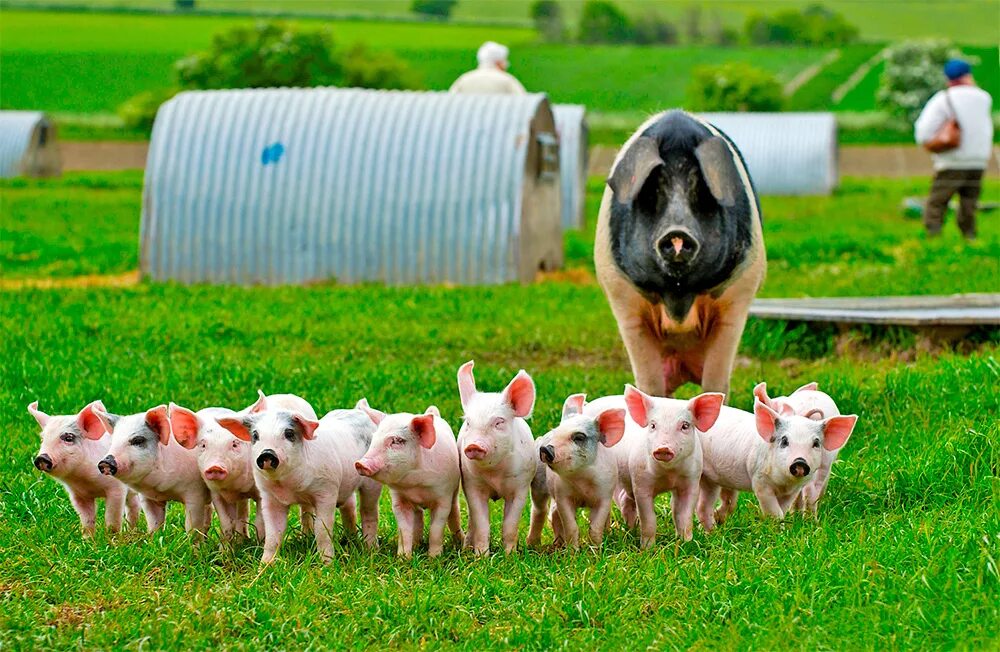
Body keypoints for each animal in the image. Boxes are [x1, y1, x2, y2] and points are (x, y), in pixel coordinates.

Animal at [592, 111, 764, 398]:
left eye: (701, 189)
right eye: (653, 189)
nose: (677, 232)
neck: (679, 295)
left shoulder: (738, 295)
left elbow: (715, 382)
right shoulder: (624, 300)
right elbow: (649, 384)